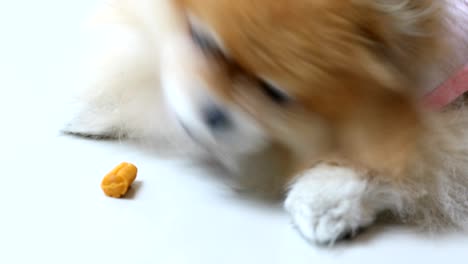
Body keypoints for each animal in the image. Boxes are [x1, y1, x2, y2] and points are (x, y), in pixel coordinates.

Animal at [66, 0, 468, 243]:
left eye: (275, 94)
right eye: (203, 41)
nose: (213, 114)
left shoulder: (440, 116)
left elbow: (403, 161)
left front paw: (323, 197)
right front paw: (102, 112)